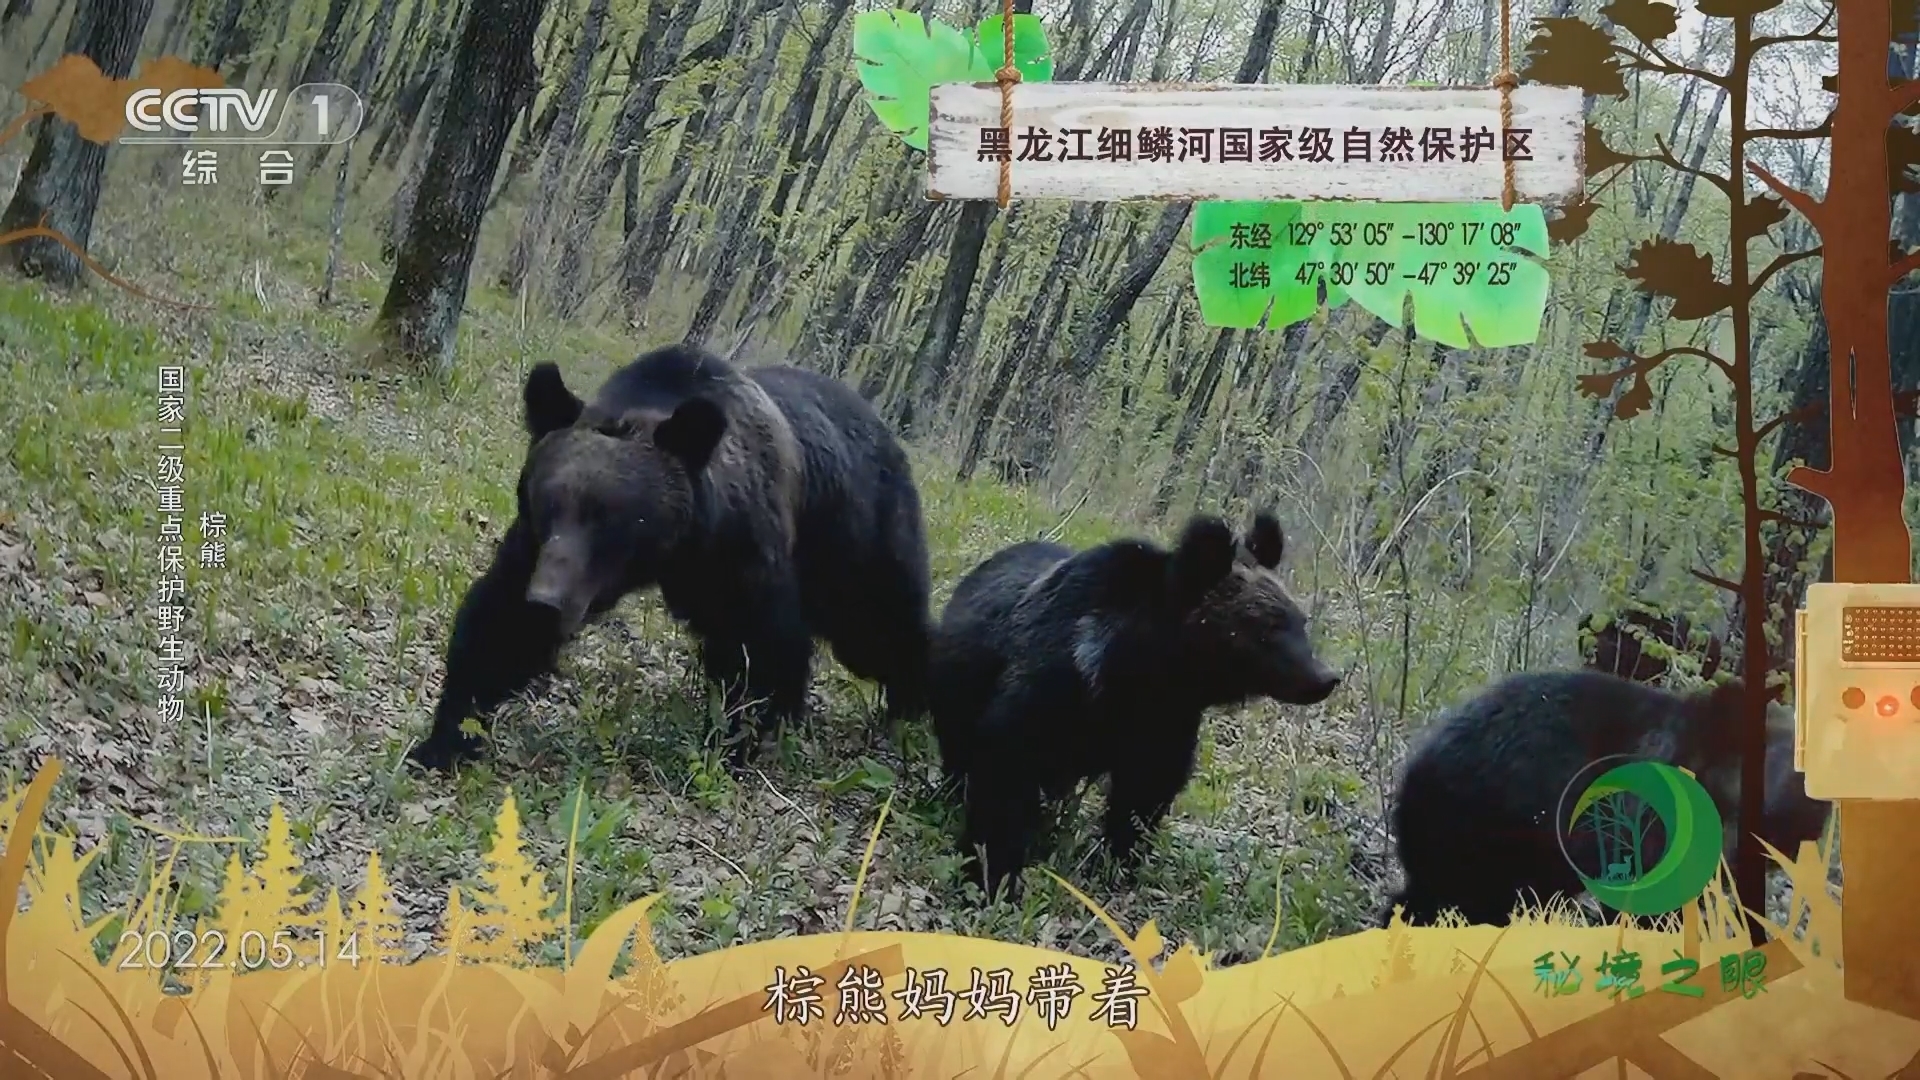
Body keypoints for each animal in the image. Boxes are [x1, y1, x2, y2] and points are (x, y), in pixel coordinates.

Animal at [408, 343, 933, 772]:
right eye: (545, 505)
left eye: (609, 517)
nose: (547, 602)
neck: (679, 547)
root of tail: (886, 429)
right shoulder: (533, 550)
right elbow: (498, 622)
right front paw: (445, 739)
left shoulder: (740, 550)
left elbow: (763, 646)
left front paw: (743, 739)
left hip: (857, 538)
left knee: (879, 626)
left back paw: (909, 706)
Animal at [929, 511, 1343, 900]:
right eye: (1265, 628)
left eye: (1300, 621)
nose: (1326, 677)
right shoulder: (1041, 703)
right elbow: (1004, 780)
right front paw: (990, 874)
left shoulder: (1163, 725)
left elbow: (1145, 795)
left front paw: (1118, 859)